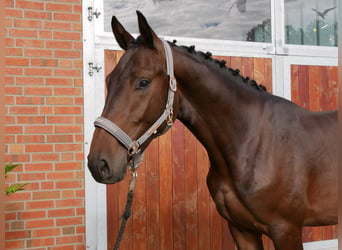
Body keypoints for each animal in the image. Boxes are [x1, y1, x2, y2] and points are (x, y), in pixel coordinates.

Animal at [87, 10, 338, 249]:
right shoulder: (242, 229)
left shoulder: (286, 230)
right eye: (109, 80)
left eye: (143, 82)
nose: (98, 163)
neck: (254, 142)